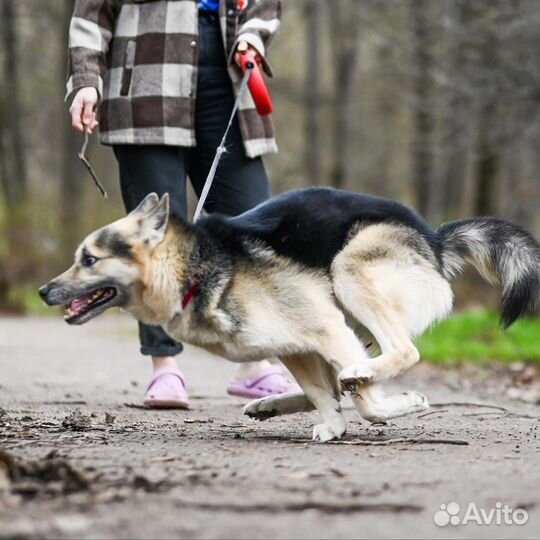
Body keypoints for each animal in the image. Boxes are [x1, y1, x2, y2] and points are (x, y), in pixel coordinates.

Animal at [39, 188, 540, 440]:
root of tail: (433, 239)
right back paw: (275, 403)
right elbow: (325, 394)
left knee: (399, 354)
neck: (193, 268)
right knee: (341, 379)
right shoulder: (297, 344)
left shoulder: (324, 327)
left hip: (349, 273)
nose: (44, 291)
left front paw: (400, 405)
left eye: (89, 259)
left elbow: (368, 404)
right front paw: (334, 423)